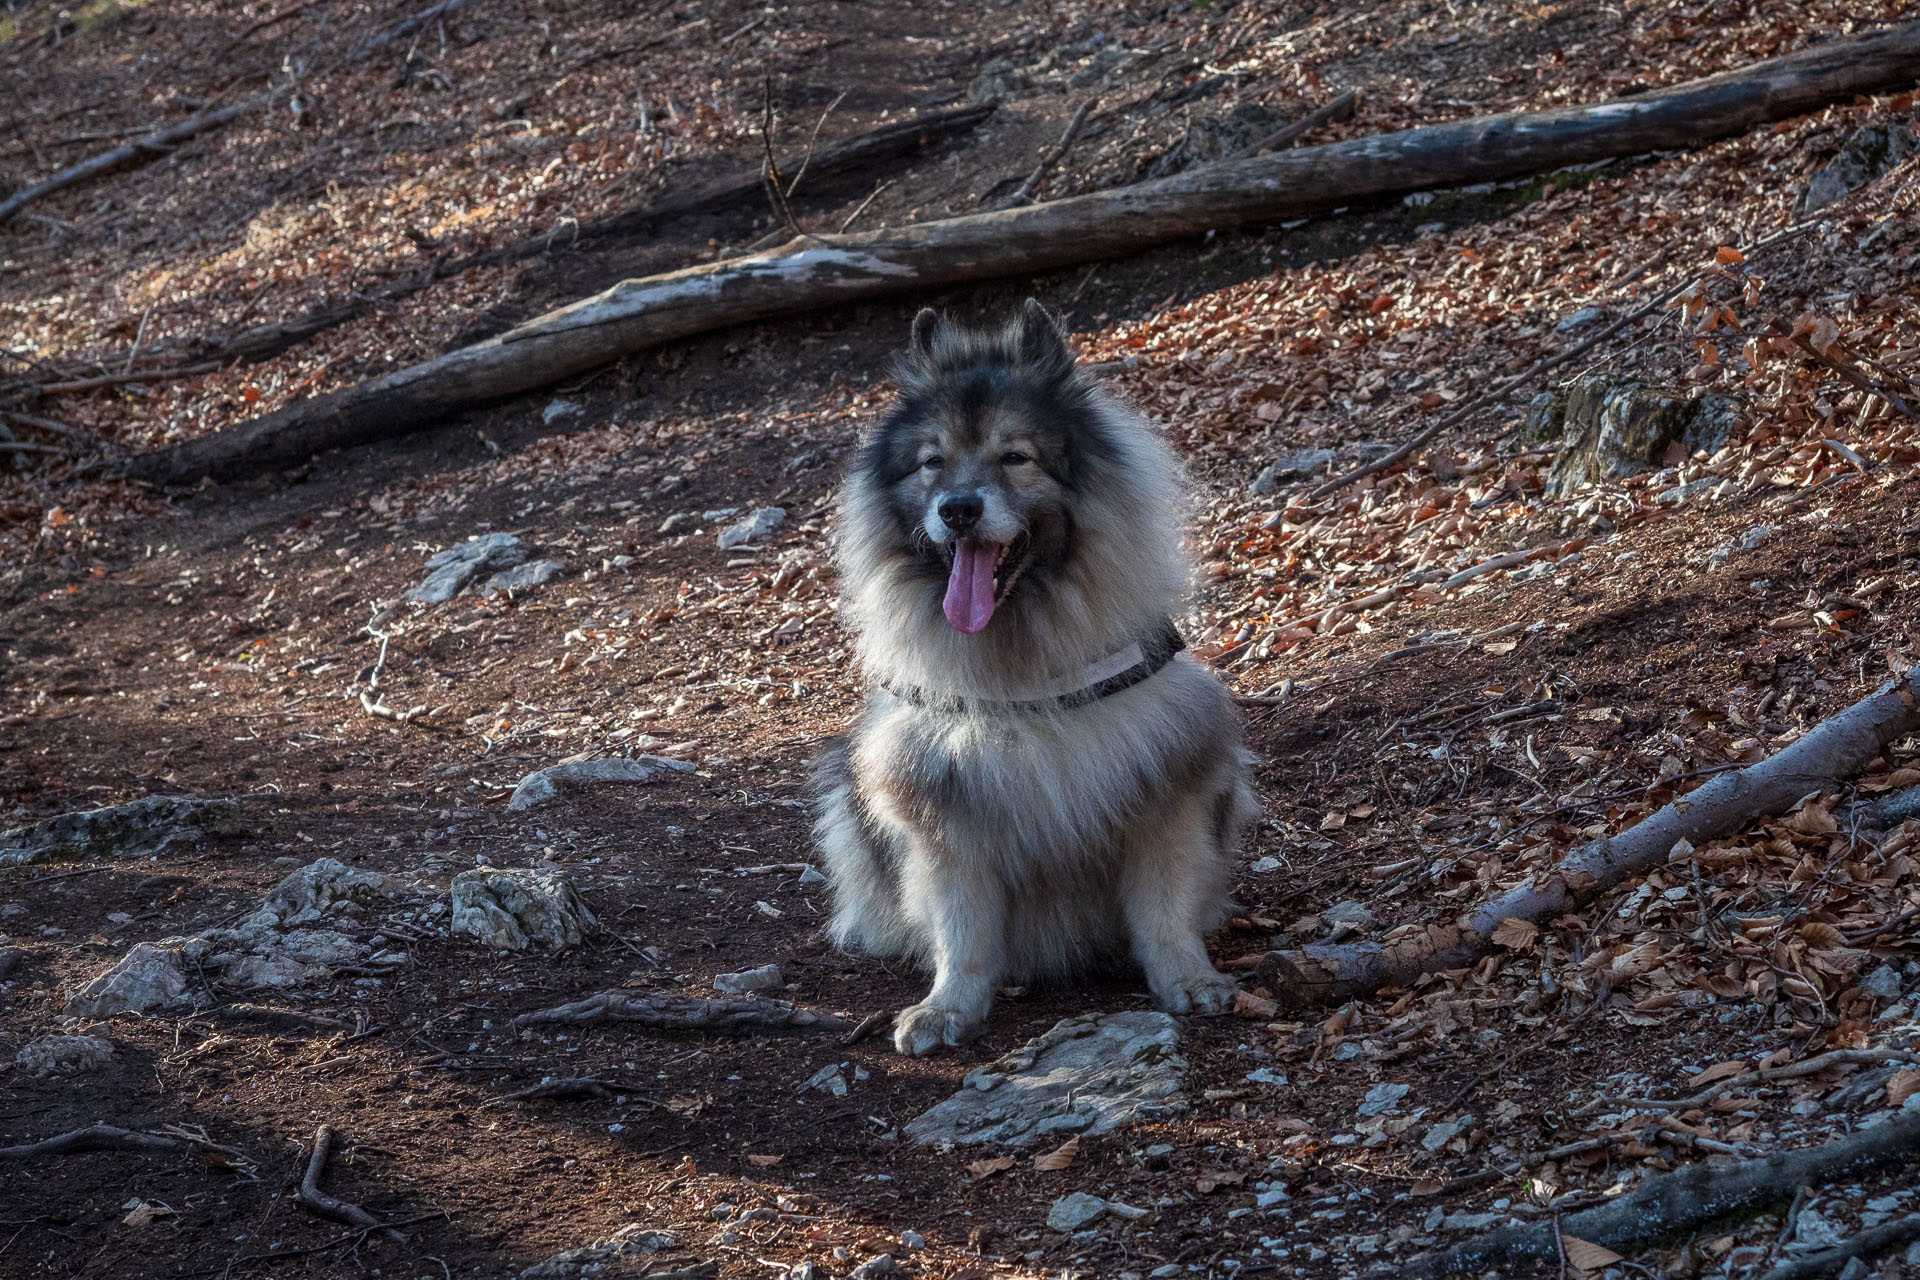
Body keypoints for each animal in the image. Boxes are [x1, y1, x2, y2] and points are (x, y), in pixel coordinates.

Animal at [810, 301, 1259, 1059]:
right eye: (932, 463)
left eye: (1014, 457)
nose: (958, 508)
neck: (1023, 664)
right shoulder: (946, 818)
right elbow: (962, 937)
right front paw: (948, 1009)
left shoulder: (1166, 791)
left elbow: (1164, 912)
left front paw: (1188, 979)